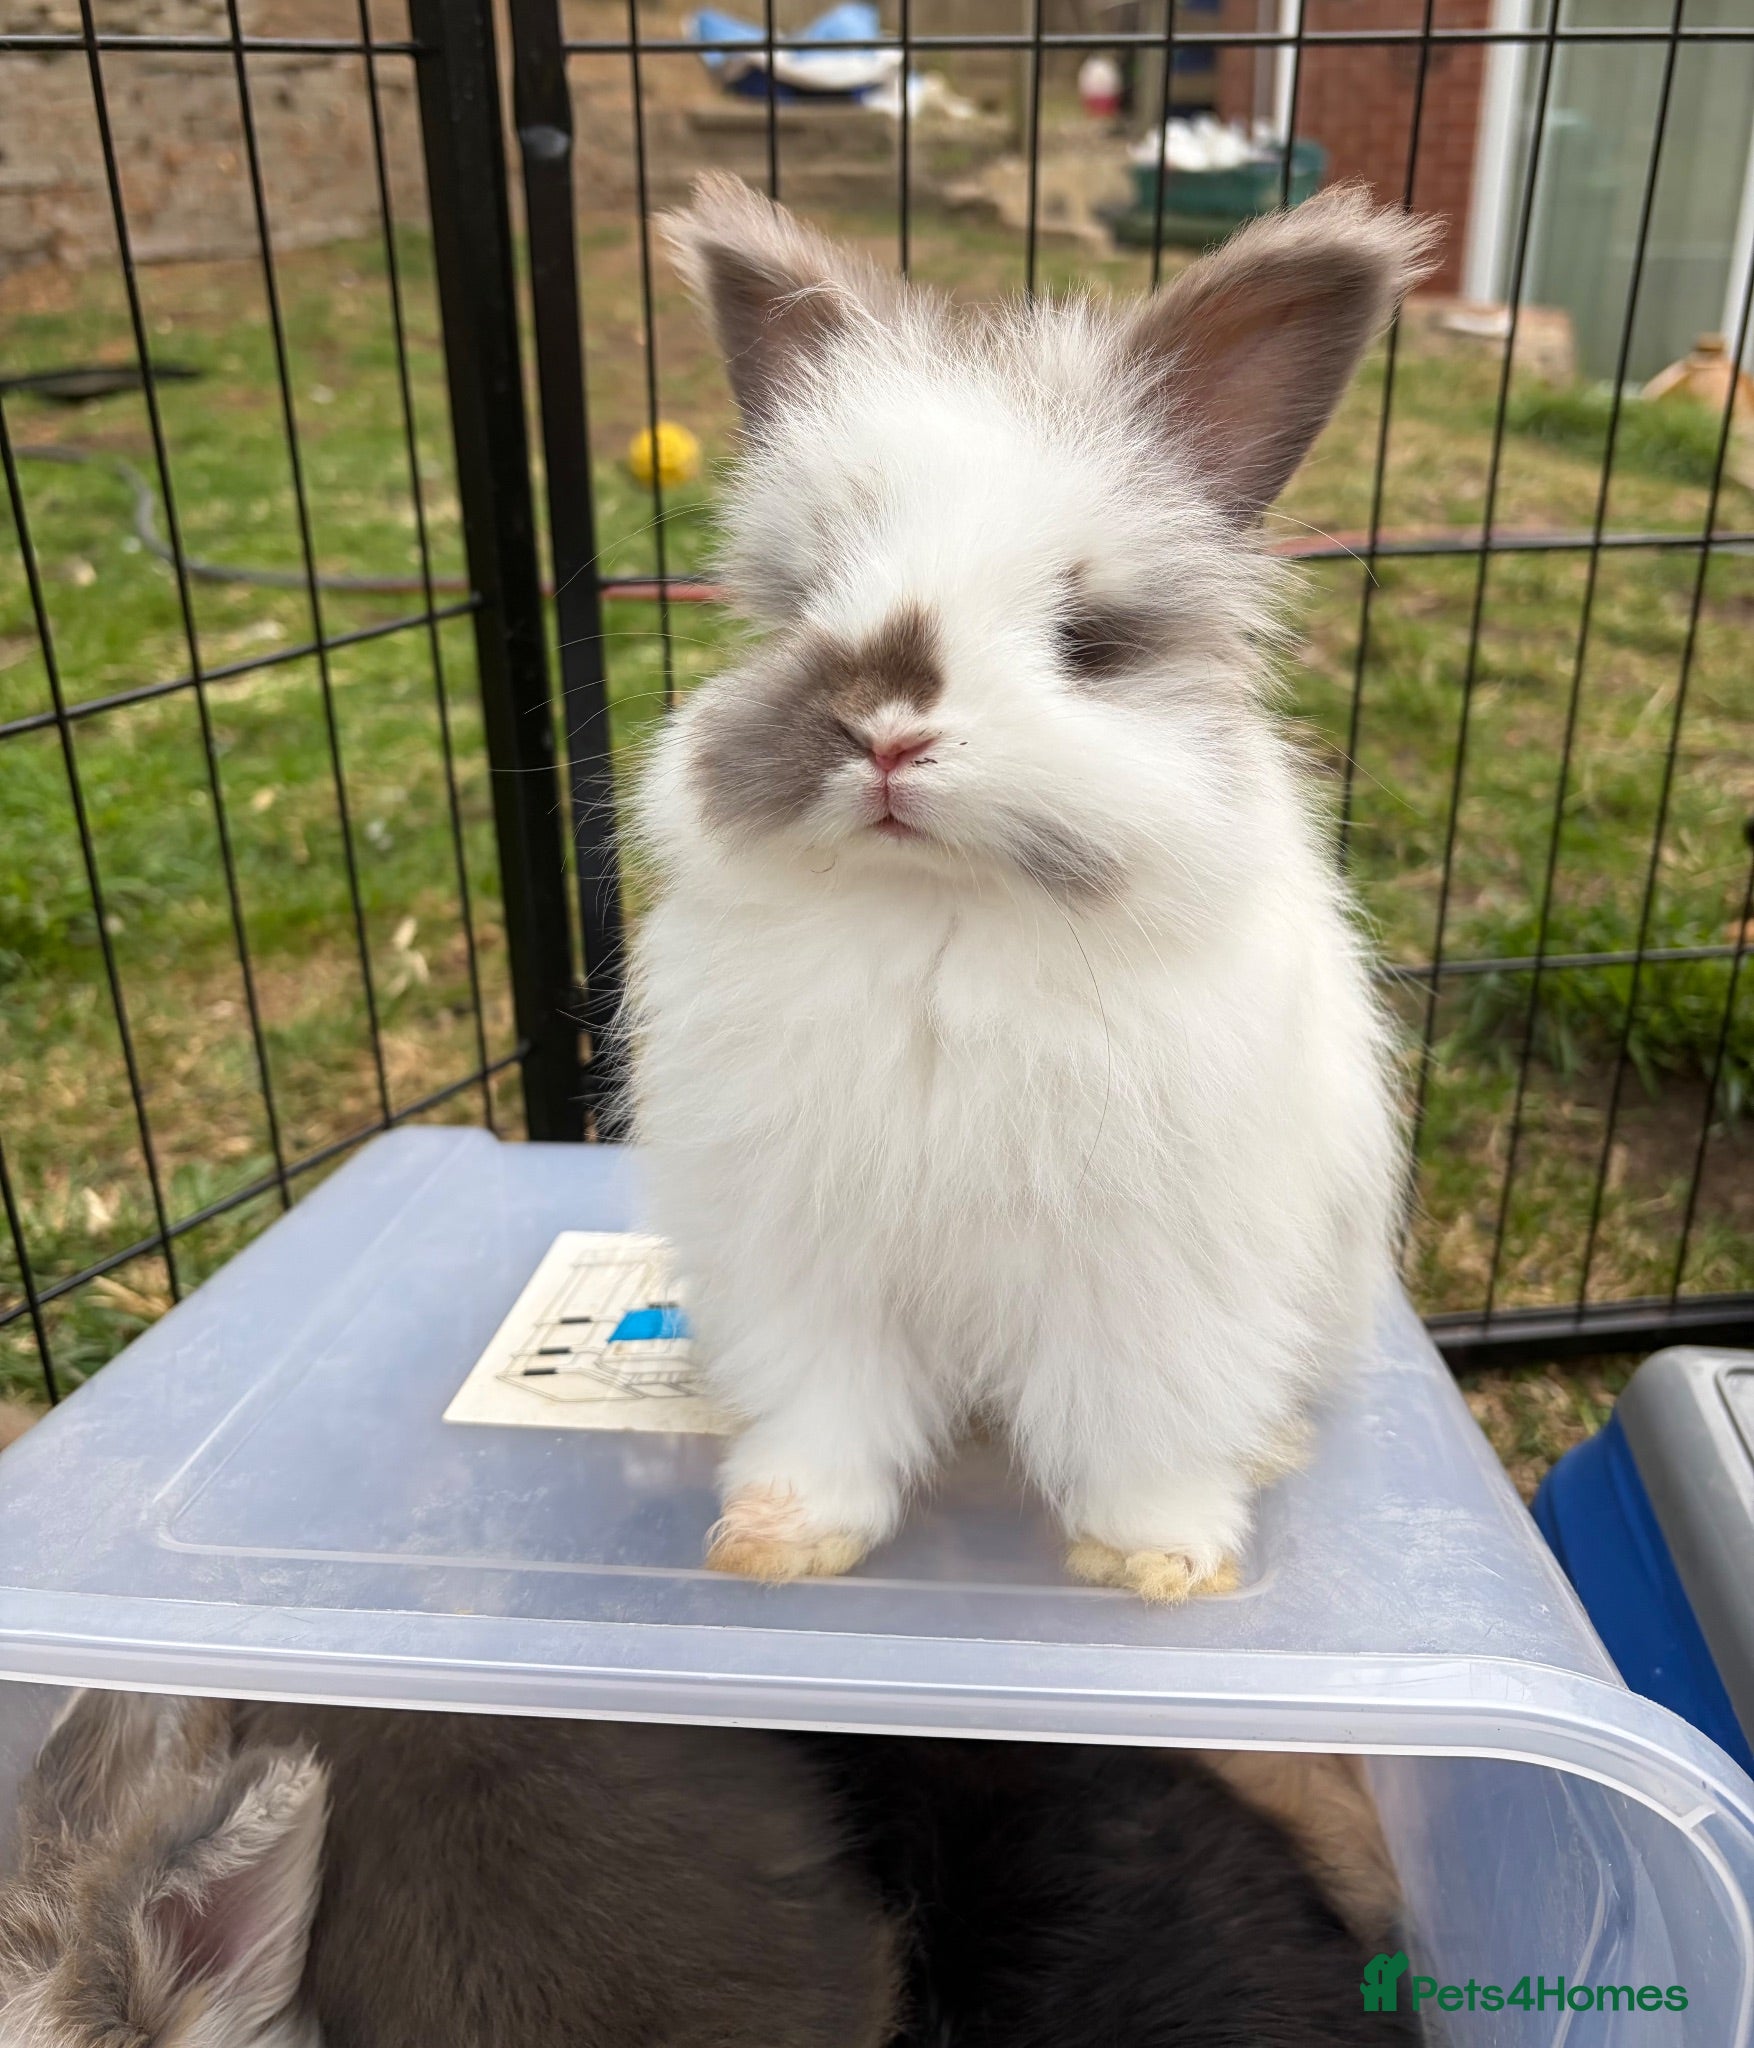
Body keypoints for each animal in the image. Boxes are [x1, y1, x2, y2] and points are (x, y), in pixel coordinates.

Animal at [629, 174, 1434, 1599]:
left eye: (1086, 642)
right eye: (808, 600)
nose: (884, 729)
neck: (944, 911)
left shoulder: (1154, 1276)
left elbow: (1145, 1413)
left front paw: (1158, 1561)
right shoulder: (805, 1260)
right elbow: (826, 1407)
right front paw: (778, 1541)